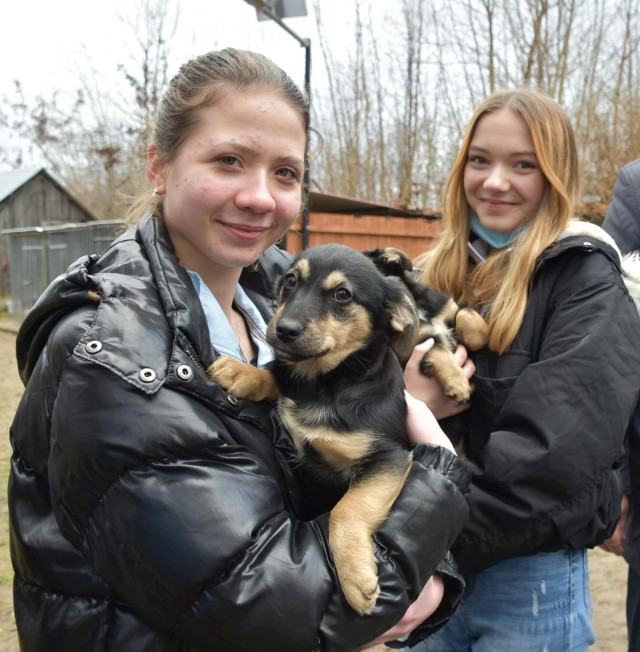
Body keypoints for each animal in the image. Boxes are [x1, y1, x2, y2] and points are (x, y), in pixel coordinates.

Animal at [209, 244, 420, 616]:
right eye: (291, 280)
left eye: (342, 294)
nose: (284, 330)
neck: (325, 382)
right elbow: (279, 376)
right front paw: (241, 373)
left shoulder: (389, 458)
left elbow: (347, 509)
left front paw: (356, 579)